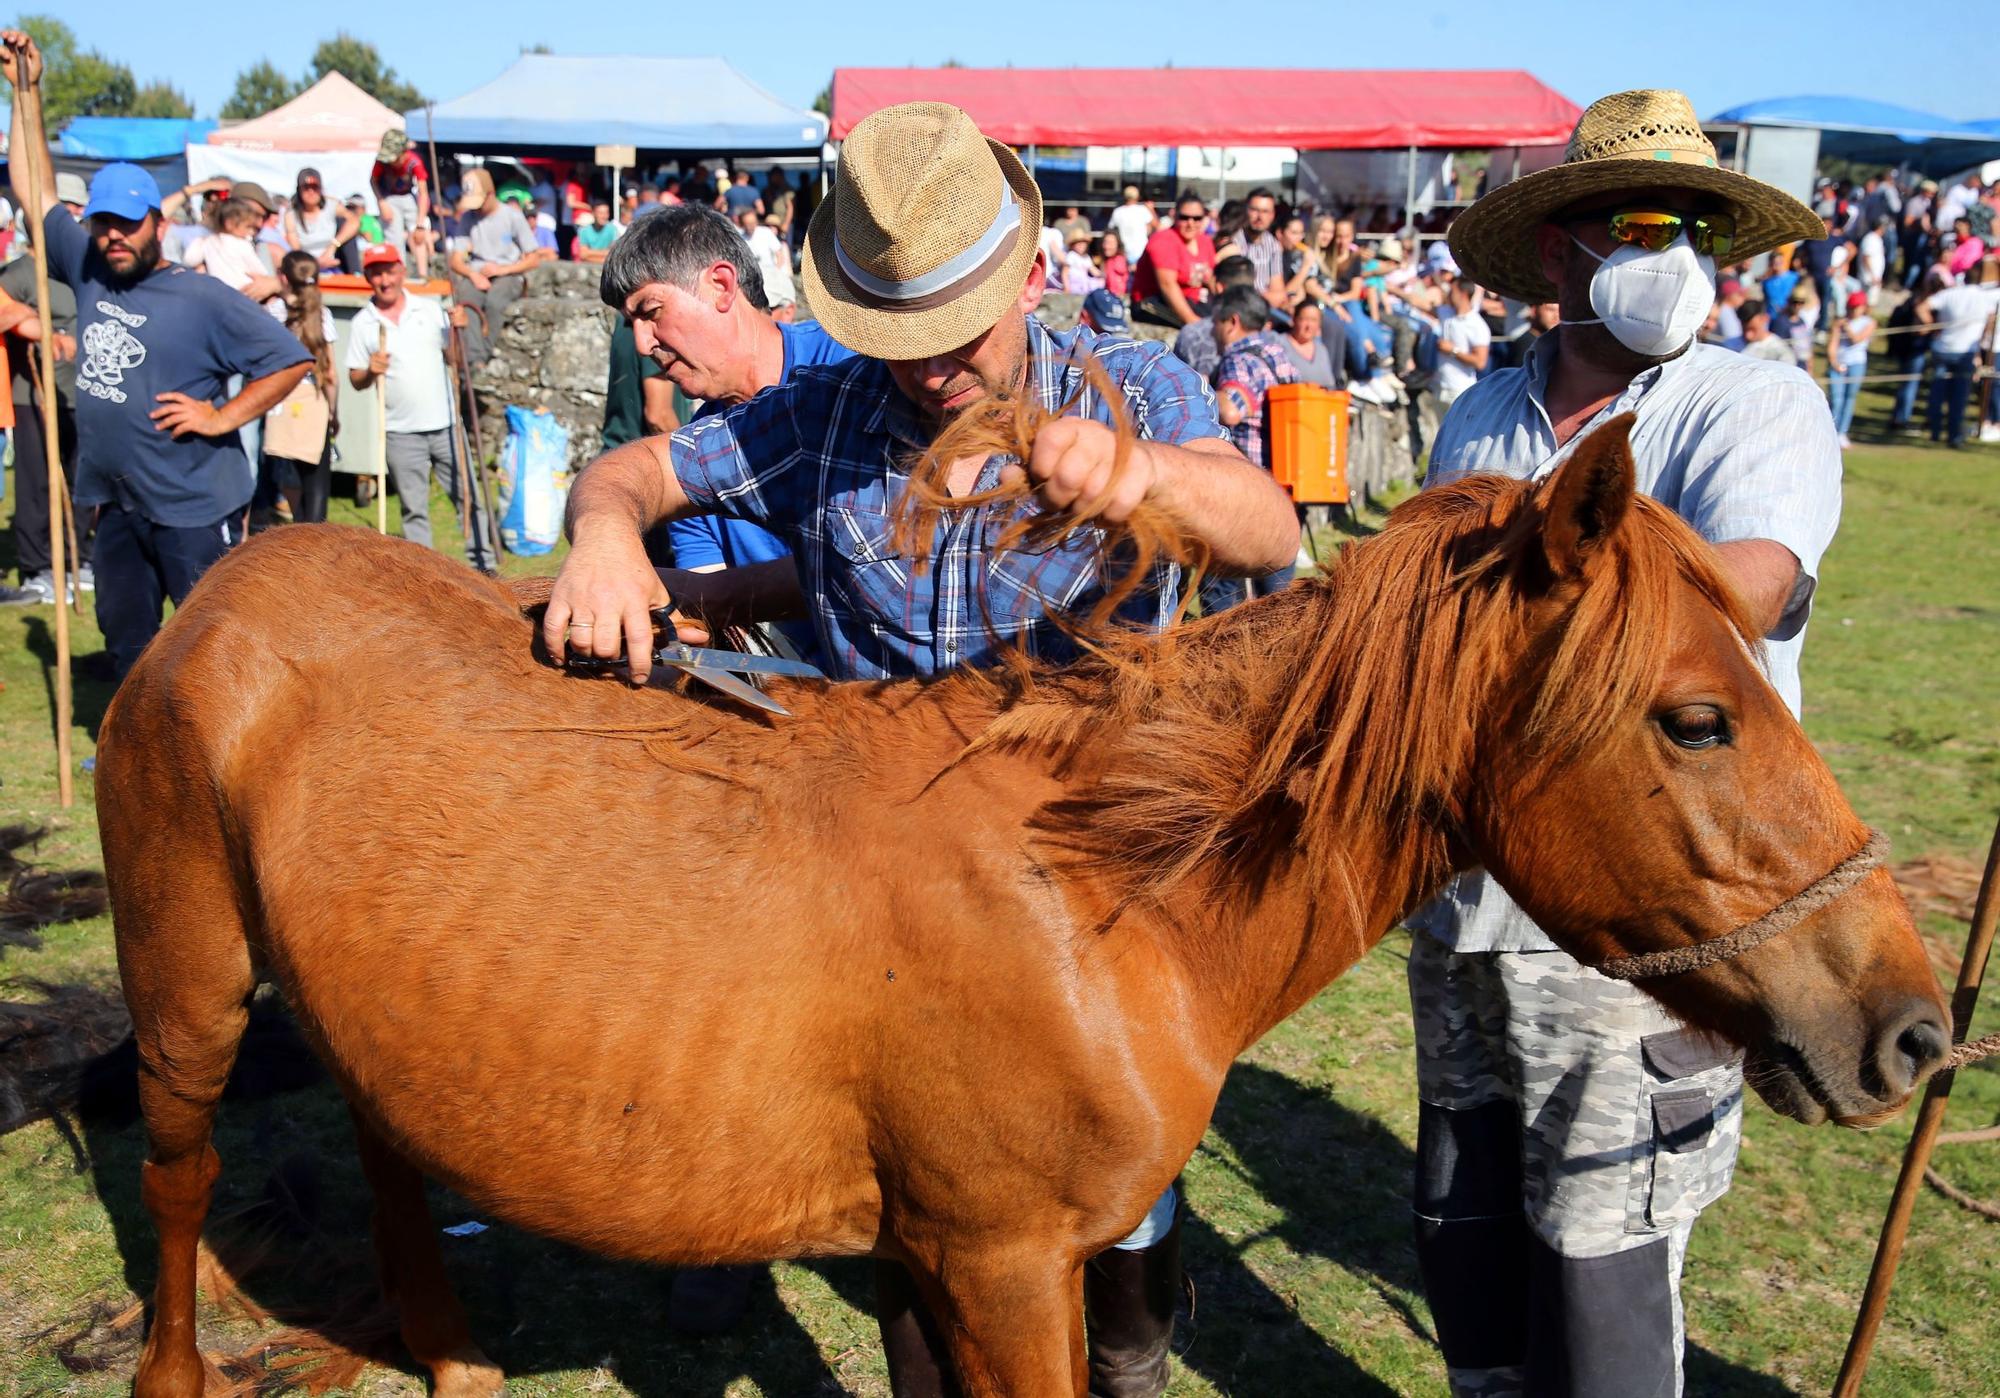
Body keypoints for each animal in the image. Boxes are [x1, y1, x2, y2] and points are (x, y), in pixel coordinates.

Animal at [101, 418, 1944, 1398]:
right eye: (1695, 719)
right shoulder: (990, 1264)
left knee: (391, 1155)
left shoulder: (981, 1263)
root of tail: (228, 586)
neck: (1099, 895)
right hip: (189, 1004)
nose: (1914, 1024)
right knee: (179, 1177)